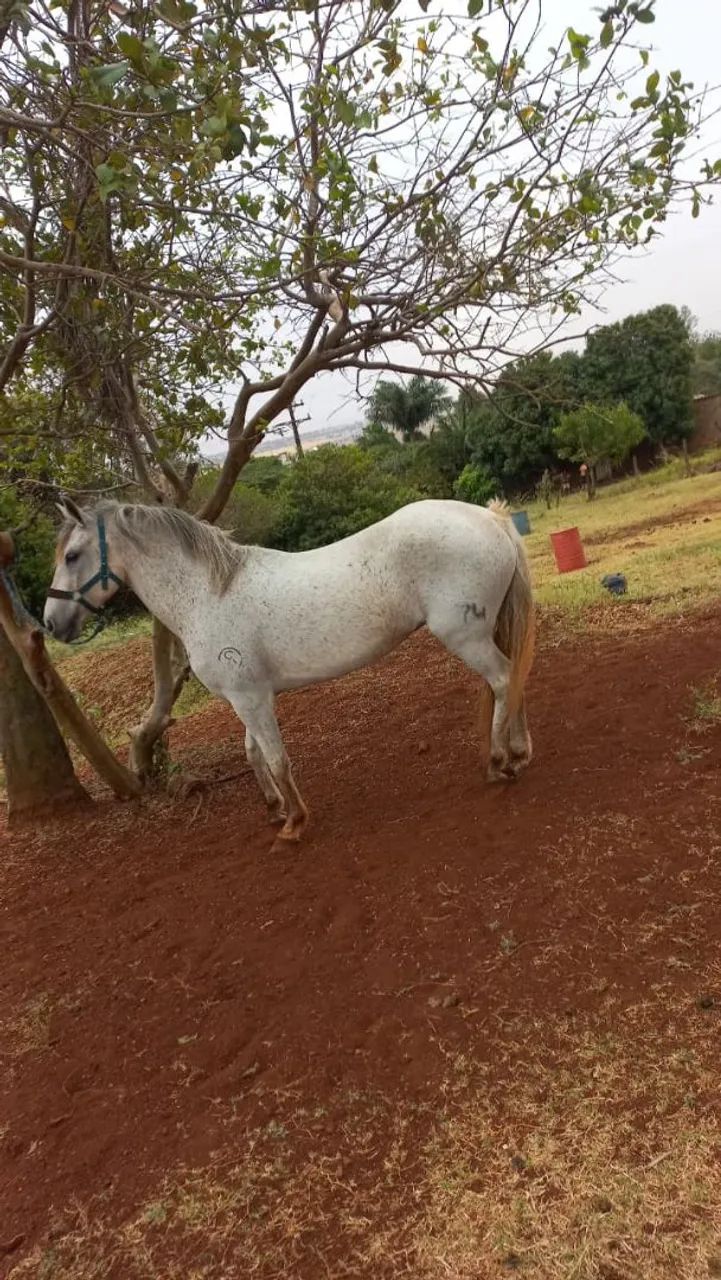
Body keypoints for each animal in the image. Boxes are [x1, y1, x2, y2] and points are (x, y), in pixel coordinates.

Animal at [44, 497, 535, 844]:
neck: (208, 594)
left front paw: (294, 822)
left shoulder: (251, 698)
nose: (51, 623)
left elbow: (277, 758)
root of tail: (490, 518)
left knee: (503, 680)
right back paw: (520, 752)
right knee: (512, 680)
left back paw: (500, 761)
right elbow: (254, 754)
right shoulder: (247, 696)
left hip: (465, 636)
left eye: (71, 556)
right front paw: (274, 808)